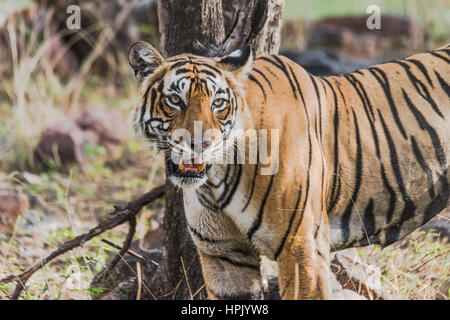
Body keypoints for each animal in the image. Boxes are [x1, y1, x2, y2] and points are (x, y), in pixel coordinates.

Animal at [128, 40, 448, 300]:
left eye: (218, 103)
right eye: (174, 100)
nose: (201, 144)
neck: (216, 182)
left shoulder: (301, 249)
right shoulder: (224, 254)